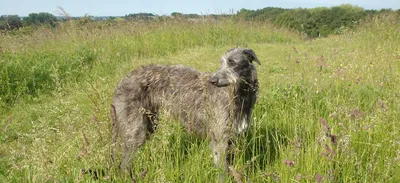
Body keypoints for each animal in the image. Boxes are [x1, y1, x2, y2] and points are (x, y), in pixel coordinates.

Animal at [111, 47, 260, 177]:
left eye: (232, 62)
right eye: (221, 63)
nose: (212, 80)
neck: (238, 95)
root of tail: (122, 82)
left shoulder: (231, 137)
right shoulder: (219, 137)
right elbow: (221, 170)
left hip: (149, 124)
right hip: (136, 130)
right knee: (123, 164)